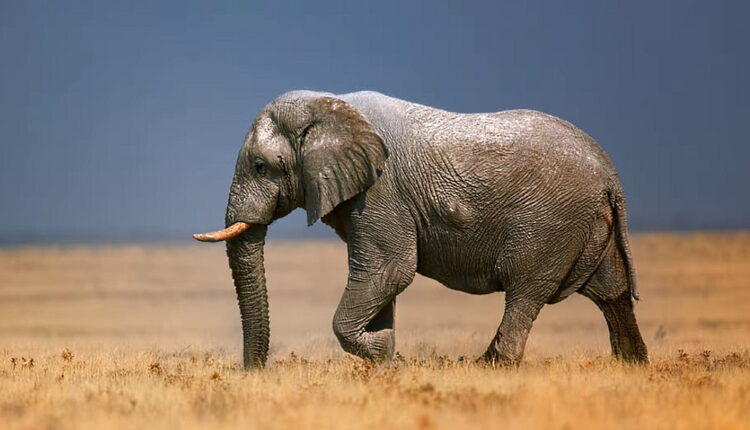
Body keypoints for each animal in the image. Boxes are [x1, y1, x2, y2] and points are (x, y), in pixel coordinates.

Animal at [193, 90, 649, 369]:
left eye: (260, 167)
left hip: (549, 223)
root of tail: (610, 173)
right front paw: (387, 358)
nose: (253, 373)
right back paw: (631, 366)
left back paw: (491, 367)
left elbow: (390, 270)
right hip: (587, 223)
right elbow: (381, 280)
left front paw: (387, 355)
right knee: (610, 292)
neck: (329, 107)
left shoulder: (382, 190)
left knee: (525, 291)